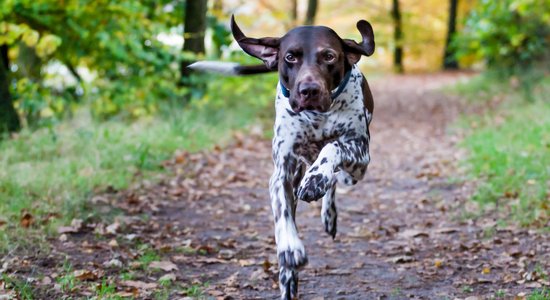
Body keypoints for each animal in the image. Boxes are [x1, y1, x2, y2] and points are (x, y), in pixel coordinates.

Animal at [190, 15, 376, 300]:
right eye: (290, 57)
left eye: (329, 56)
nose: (309, 90)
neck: (317, 117)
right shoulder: (282, 175)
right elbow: (282, 214)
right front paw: (289, 249)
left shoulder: (360, 154)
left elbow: (333, 147)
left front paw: (317, 179)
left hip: (351, 175)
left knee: (334, 178)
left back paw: (326, 206)